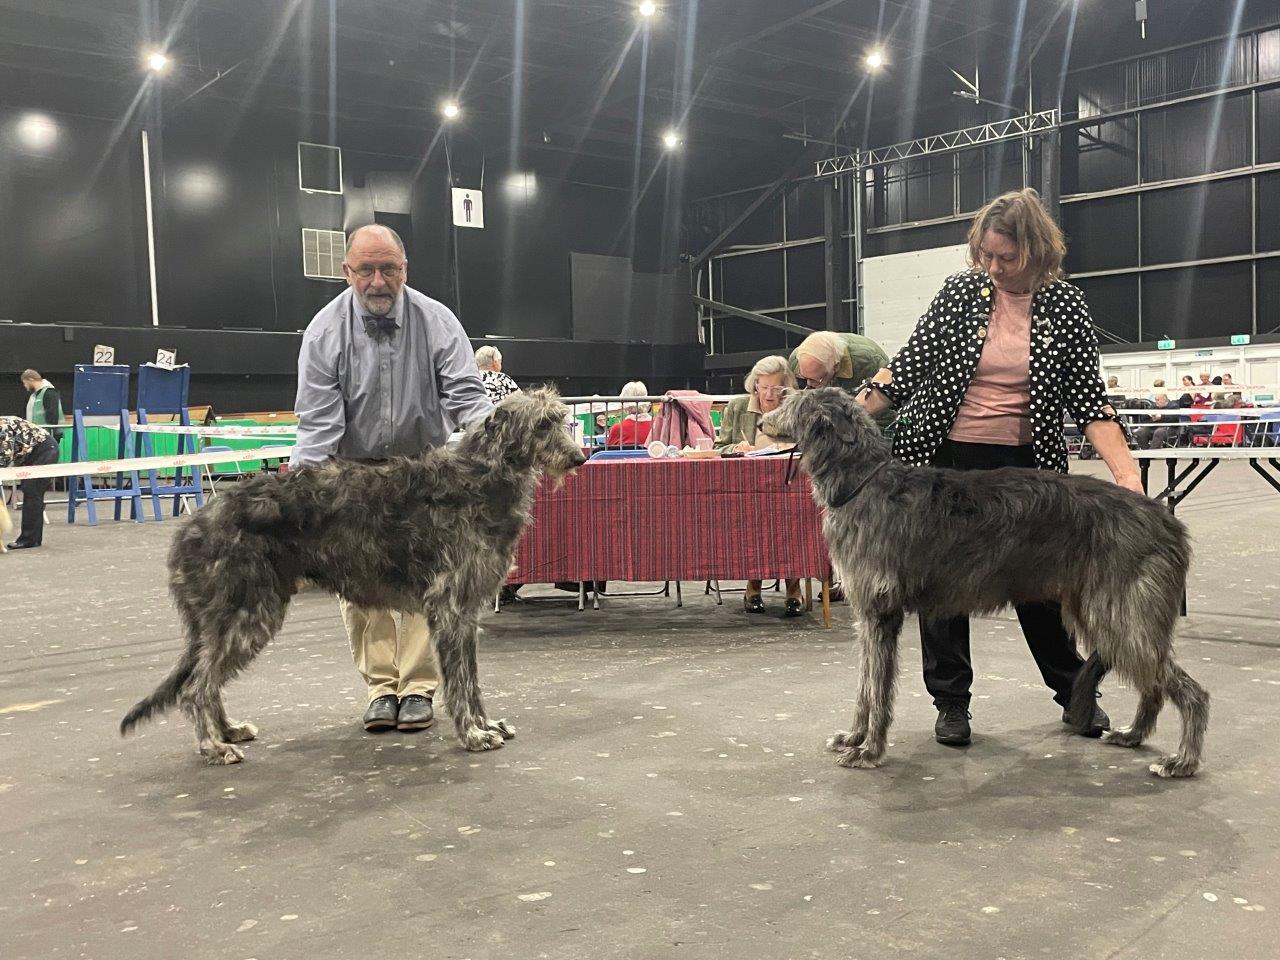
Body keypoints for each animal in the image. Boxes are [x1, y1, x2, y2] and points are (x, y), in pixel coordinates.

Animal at [122, 386, 583, 773]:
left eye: (562, 419)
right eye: (542, 424)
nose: (578, 458)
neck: (481, 478)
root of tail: (191, 527)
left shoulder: (467, 612)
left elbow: (471, 679)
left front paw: (487, 724)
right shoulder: (450, 608)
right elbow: (459, 681)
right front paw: (472, 734)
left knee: (206, 678)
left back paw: (228, 730)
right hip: (246, 614)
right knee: (196, 687)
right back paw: (214, 746)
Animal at [757, 389, 1208, 783]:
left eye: (788, 402)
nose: (761, 420)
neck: (863, 484)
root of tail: (1166, 520)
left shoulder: (881, 613)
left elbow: (878, 690)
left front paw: (869, 751)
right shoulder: (869, 616)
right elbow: (865, 687)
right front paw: (853, 738)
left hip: (1122, 613)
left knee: (1189, 690)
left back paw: (1182, 761)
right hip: (1105, 611)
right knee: (1154, 684)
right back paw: (1133, 736)